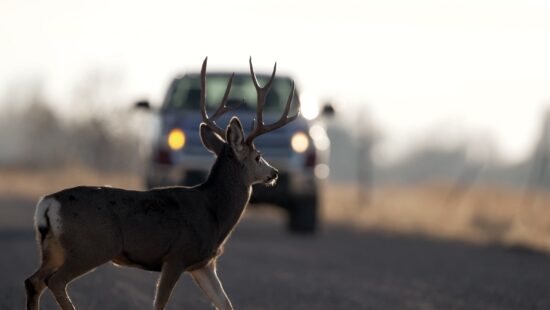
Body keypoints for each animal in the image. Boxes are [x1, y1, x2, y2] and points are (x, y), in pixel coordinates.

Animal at [24, 58, 302, 310]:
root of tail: (48, 203)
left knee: (33, 281)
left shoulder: (204, 264)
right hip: (91, 246)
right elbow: (160, 303)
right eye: (258, 156)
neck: (214, 213)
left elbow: (225, 303)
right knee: (55, 281)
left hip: (54, 247)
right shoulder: (176, 255)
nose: (274, 173)